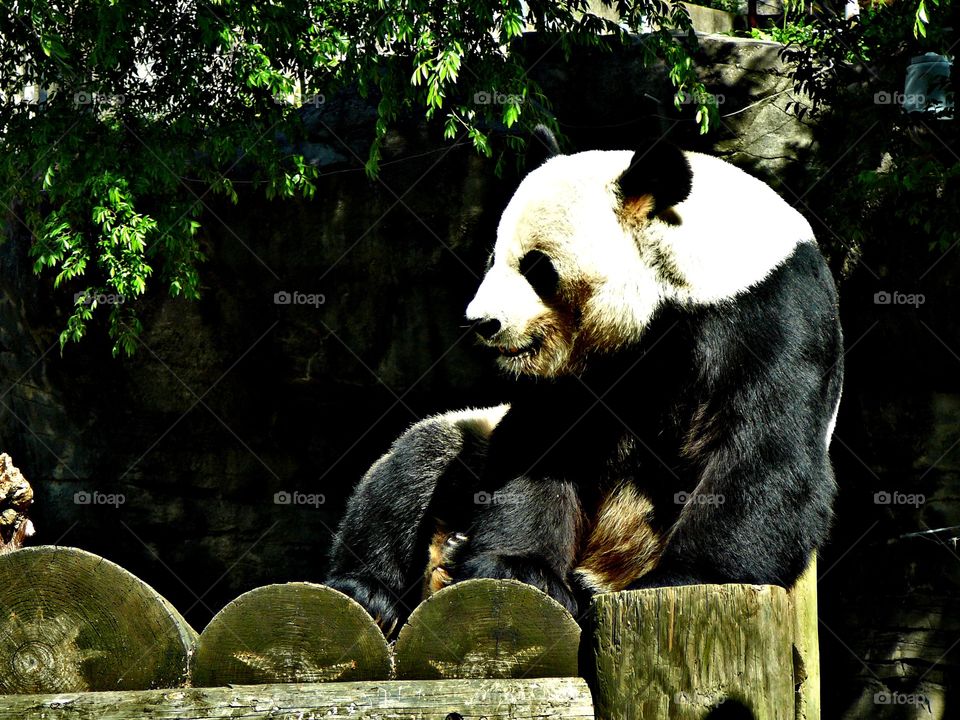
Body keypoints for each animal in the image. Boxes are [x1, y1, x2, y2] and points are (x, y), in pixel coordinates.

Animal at [325, 134, 844, 636]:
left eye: (536, 267)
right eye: (493, 258)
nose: (483, 323)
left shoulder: (769, 311)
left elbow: (760, 449)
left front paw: (691, 576)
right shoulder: (575, 370)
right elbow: (541, 443)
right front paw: (519, 570)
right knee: (416, 464)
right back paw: (377, 588)